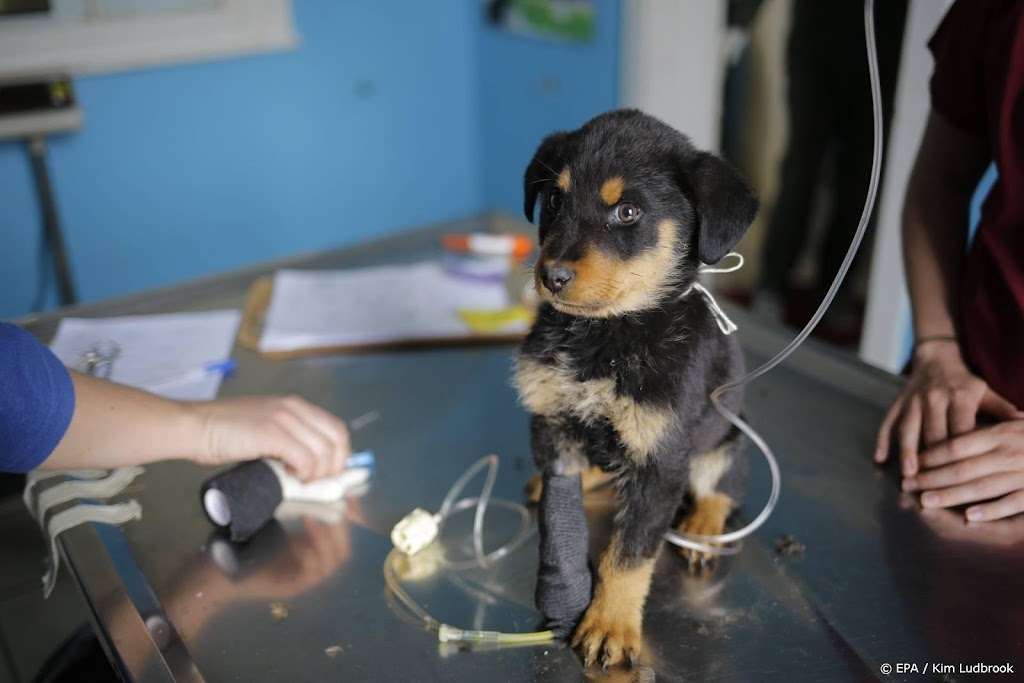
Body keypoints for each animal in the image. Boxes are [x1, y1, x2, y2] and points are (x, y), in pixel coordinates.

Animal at [516, 111, 757, 667]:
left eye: (627, 212)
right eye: (554, 200)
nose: (552, 276)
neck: (606, 337)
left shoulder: (660, 461)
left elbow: (628, 555)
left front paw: (609, 624)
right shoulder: (552, 422)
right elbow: (561, 520)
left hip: (727, 437)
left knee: (722, 486)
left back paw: (702, 526)